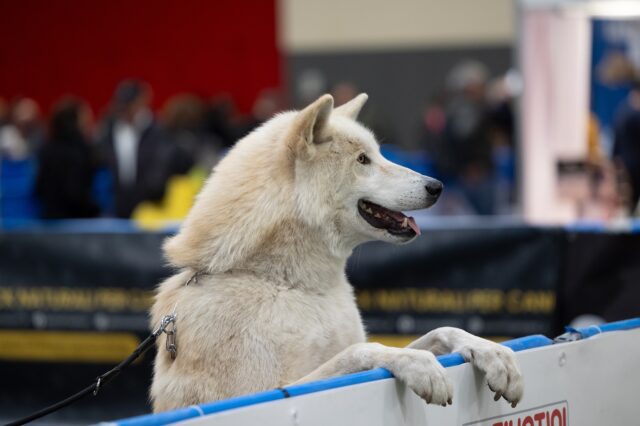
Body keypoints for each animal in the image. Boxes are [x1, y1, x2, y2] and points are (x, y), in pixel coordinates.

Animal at [149, 93, 520, 412]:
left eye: (379, 154)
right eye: (362, 160)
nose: (437, 186)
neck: (289, 284)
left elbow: (443, 330)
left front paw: (492, 352)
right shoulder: (266, 392)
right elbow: (365, 349)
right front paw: (417, 364)